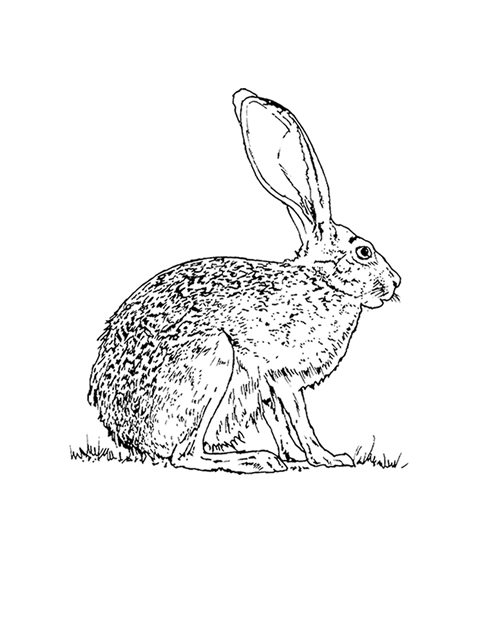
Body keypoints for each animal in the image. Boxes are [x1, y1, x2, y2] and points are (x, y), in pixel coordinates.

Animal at [88, 88, 401, 473]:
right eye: (364, 252)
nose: (396, 282)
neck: (319, 280)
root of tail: (127, 432)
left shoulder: (270, 388)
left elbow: (282, 422)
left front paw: (298, 458)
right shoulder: (282, 376)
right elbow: (300, 419)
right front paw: (329, 458)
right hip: (212, 366)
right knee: (185, 455)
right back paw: (255, 459)